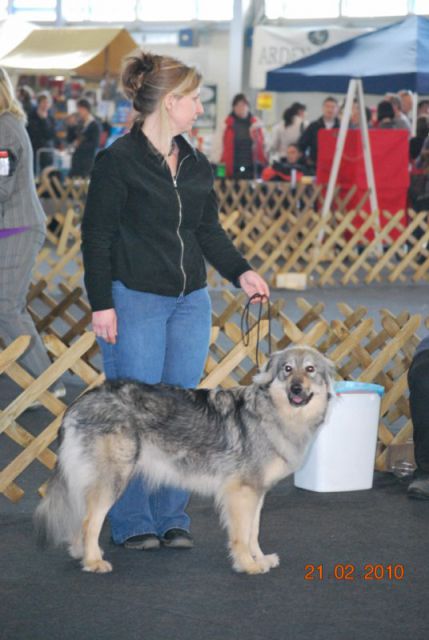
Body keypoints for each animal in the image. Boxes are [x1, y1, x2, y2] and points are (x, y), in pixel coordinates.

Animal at [34, 344, 334, 576]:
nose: (296, 389)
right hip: (113, 480)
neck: (273, 412)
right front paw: (247, 565)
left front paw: (260, 559)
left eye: (310, 370)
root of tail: (80, 403)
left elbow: (254, 532)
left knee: (80, 519)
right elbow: (241, 535)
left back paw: (82, 554)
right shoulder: (242, 492)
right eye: (287, 369)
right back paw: (94, 561)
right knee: (89, 522)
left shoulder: (257, 493)